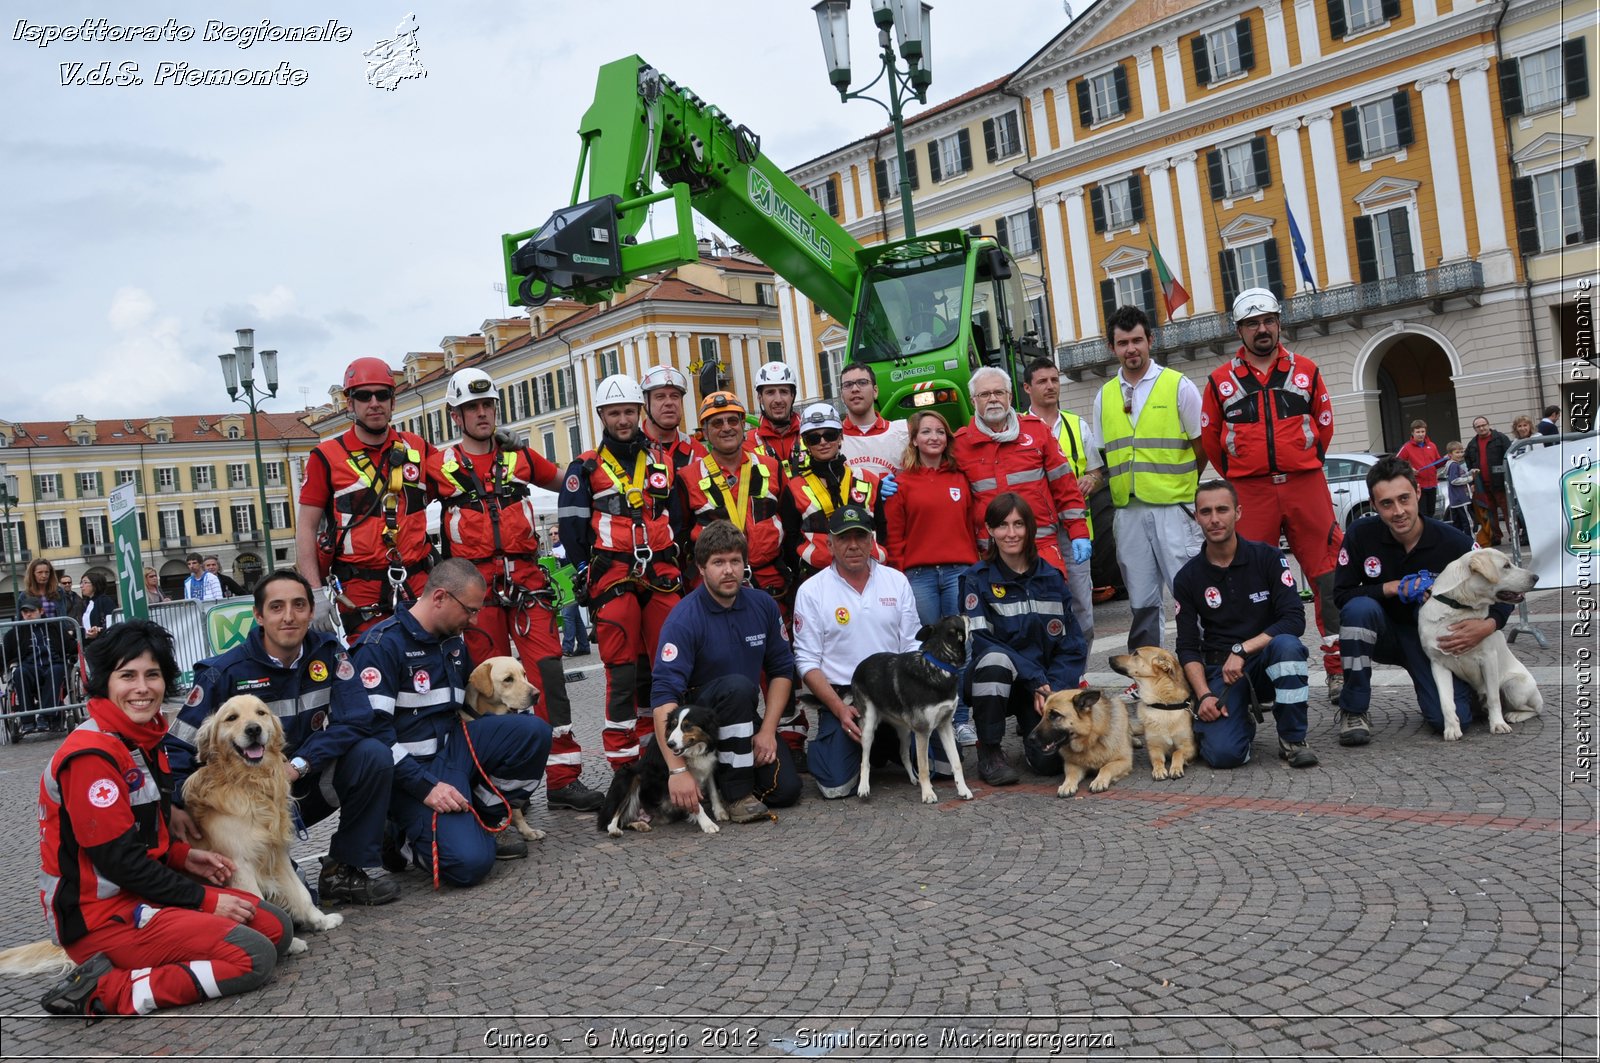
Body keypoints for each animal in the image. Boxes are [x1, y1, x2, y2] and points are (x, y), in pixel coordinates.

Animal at [598, 704, 729, 838]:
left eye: (687, 726)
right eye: (673, 725)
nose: (670, 744)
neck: (693, 750)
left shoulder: (708, 767)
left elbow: (713, 791)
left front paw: (720, 812)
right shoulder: (685, 782)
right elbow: (696, 803)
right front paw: (707, 824)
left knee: (625, 821)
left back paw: (640, 825)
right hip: (627, 775)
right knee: (610, 821)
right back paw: (615, 830)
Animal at [851, 614, 972, 806]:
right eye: (959, 618)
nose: (967, 615)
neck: (939, 664)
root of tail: (860, 665)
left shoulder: (944, 725)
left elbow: (956, 763)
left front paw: (963, 790)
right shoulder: (923, 731)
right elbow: (924, 767)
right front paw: (928, 794)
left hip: (905, 730)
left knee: (903, 754)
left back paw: (913, 778)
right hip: (869, 726)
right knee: (865, 760)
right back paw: (863, 788)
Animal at [1113, 646, 1203, 781]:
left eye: (1136, 653)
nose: (1110, 658)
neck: (1162, 706)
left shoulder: (1190, 747)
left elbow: (1177, 752)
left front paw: (1175, 768)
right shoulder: (1154, 748)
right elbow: (1157, 760)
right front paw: (1159, 770)